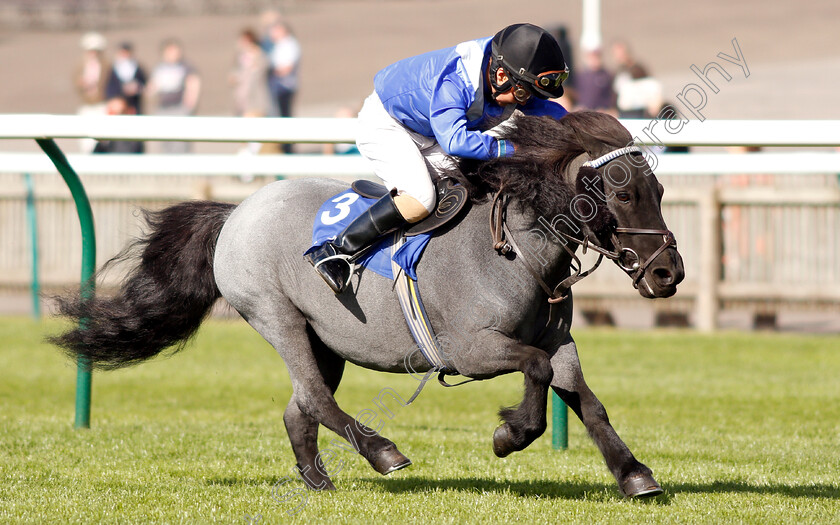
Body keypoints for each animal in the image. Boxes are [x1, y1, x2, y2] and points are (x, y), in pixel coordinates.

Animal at [50, 109, 684, 496]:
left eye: (657, 189)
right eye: (622, 194)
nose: (667, 272)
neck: (515, 250)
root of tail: (234, 211)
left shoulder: (559, 338)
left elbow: (584, 397)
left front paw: (634, 474)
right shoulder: (471, 349)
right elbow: (535, 369)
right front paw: (511, 434)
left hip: (323, 338)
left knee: (300, 406)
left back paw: (318, 480)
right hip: (275, 314)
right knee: (313, 397)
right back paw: (383, 452)